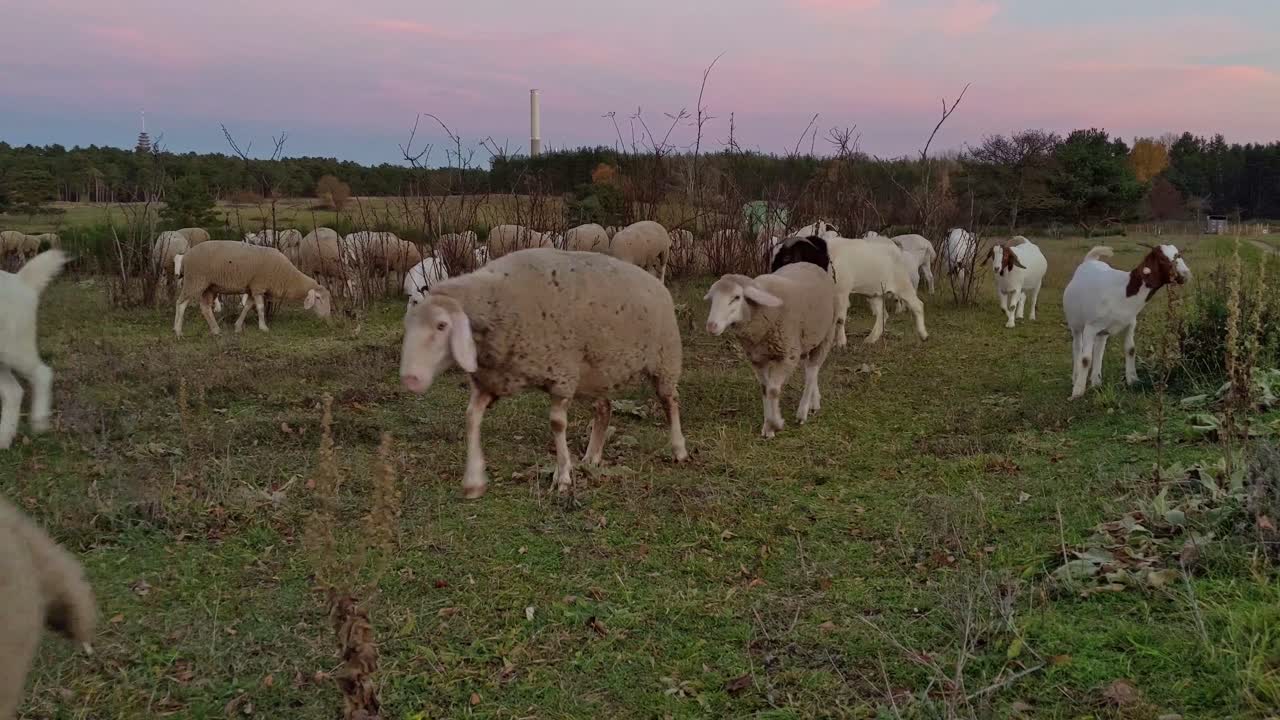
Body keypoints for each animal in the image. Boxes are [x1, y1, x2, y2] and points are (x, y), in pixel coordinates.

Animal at [0, 250, 67, 449]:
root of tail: (20, 281)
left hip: (14, 351)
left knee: (42, 374)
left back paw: (39, 421)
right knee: (13, 392)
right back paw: (4, 439)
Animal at [174, 241, 332, 337]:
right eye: (318, 298)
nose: (327, 318)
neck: (286, 276)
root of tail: (186, 256)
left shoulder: (251, 288)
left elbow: (248, 306)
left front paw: (238, 327)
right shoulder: (258, 286)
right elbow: (260, 308)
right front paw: (263, 327)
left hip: (209, 286)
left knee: (205, 307)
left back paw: (216, 330)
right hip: (195, 280)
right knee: (181, 303)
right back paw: (178, 331)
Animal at [399, 248, 689, 498]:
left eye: (441, 325)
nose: (410, 379)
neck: (497, 301)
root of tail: (656, 282)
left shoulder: (562, 374)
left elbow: (557, 424)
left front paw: (563, 477)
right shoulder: (492, 381)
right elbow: (471, 418)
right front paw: (473, 480)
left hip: (665, 359)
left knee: (670, 402)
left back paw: (679, 449)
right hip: (595, 371)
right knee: (604, 409)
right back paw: (591, 457)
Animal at [705, 243, 839, 438]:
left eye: (736, 297)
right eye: (713, 299)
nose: (711, 326)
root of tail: (810, 264)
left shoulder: (787, 355)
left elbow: (774, 390)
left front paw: (775, 424)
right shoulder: (757, 357)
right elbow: (764, 388)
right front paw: (768, 426)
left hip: (826, 335)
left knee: (812, 371)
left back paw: (803, 412)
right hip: (806, 339)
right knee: (810, 370)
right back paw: (815, 403)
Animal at [1064, 244, 1191, 399]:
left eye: (1178, 254)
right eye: (1162, 258)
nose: (1185, 274)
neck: (1123, 291)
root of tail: (1090, 260)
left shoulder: (1130, 323)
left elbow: (1130, 350)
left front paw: (1133, 380)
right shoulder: (1090, 327)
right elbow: (1085, 358)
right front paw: (1077, 391)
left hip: (1102, 331)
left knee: (1099, 349)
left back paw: (1096, 381)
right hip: (1075, 323)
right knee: (1077, 347)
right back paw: (1076, 378)